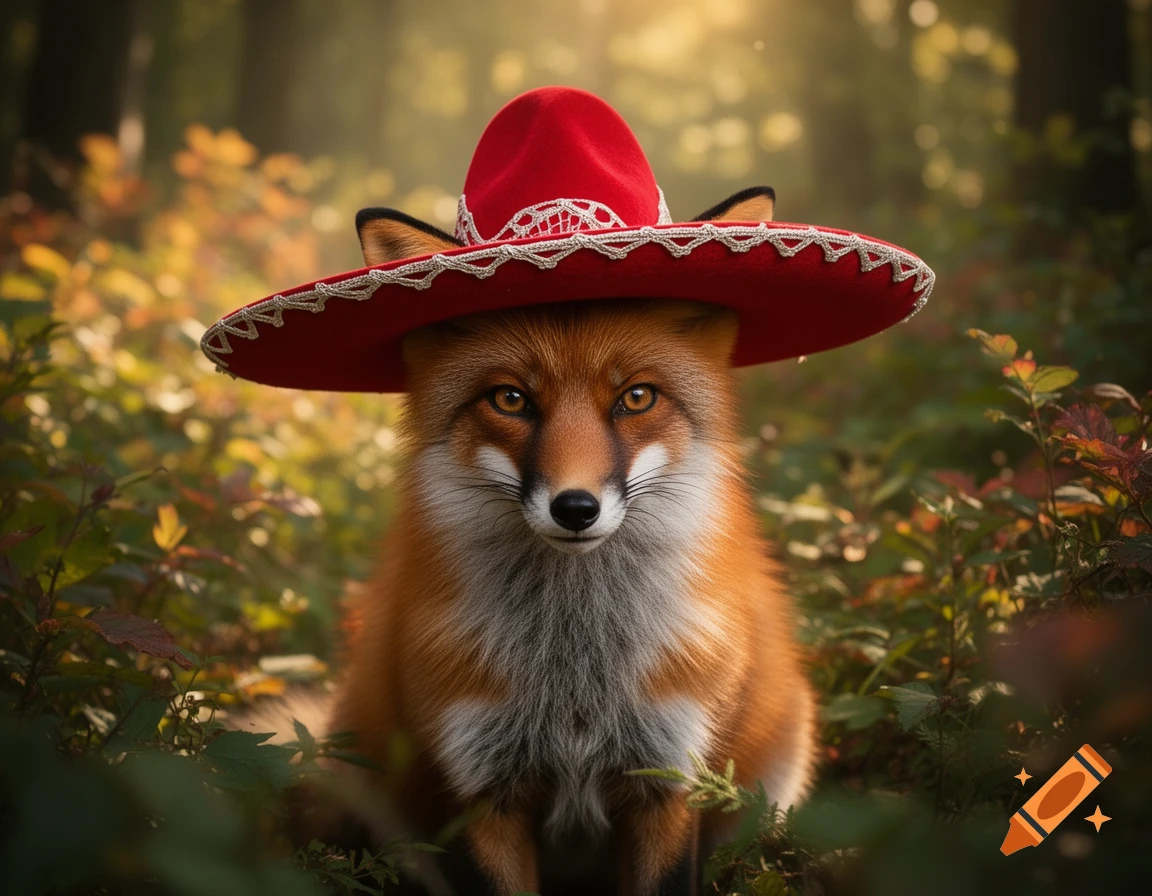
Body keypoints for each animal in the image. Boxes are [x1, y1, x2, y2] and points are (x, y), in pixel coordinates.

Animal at [248, 188, 817, 896]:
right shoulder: (483, 790)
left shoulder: (668, 781)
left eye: (636, 397)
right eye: (511, 399)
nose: (575, 508)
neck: (574, 675)